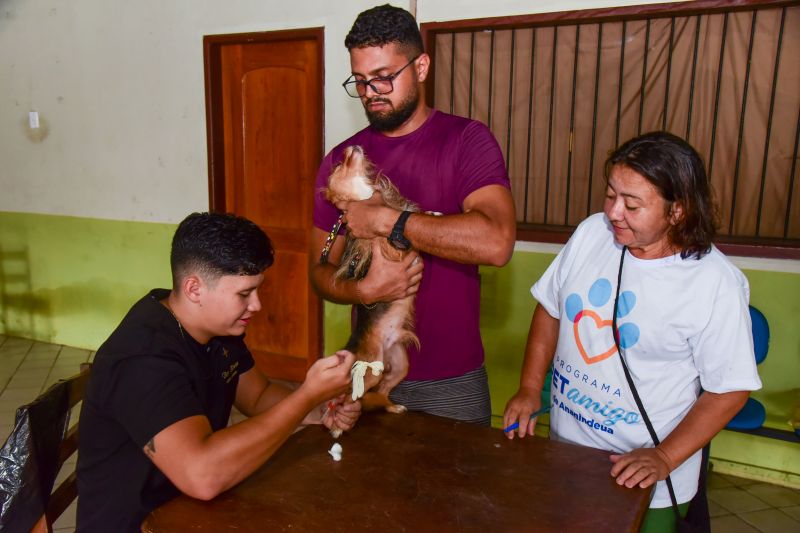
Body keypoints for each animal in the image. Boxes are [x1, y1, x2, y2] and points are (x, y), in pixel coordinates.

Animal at [322, 147, 418, 416]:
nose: (351, 146)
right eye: (339, 165)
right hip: (369, 374)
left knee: (381, 392)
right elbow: (389, 242)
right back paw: (341, 408)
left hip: (399, 366)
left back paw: (393, 407)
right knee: (355, 393)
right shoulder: (384, 249)